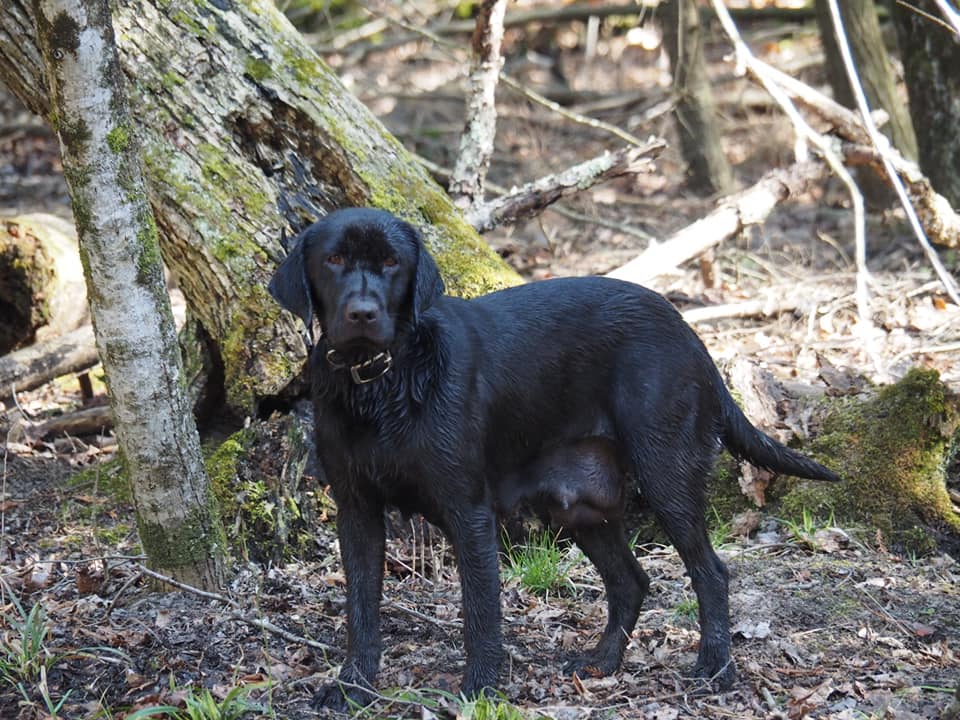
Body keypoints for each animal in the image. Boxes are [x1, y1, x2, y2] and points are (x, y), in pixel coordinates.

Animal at [270, 207, 840, 708]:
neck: (380, 384)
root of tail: (689, 333)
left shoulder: (467, 510)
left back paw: (715, 666)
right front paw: (352, 689)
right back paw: (603, 662)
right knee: (631, 581)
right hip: (579, 507)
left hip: (666, 476)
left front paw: (481, 689)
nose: (362, 314)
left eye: (392, 263)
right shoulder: (357, 511)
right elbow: (362, 612)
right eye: (334, 260)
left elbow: (481, 612)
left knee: (711, 573)